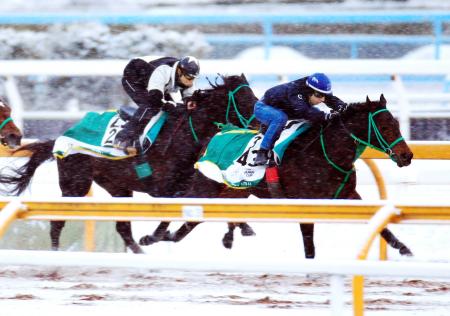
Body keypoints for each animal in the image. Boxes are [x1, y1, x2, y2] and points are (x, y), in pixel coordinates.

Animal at [0, 73, 256, 252]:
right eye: (246, 101)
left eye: (254, 97)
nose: (261, 123)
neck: (184, 138)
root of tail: (61, 137)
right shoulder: (165, 190)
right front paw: (152, 237)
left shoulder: (194, 187)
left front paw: (241, 228)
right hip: (75, 185)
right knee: (58, 221)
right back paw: (55, 253)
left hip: (118, 187)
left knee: (122, 228)